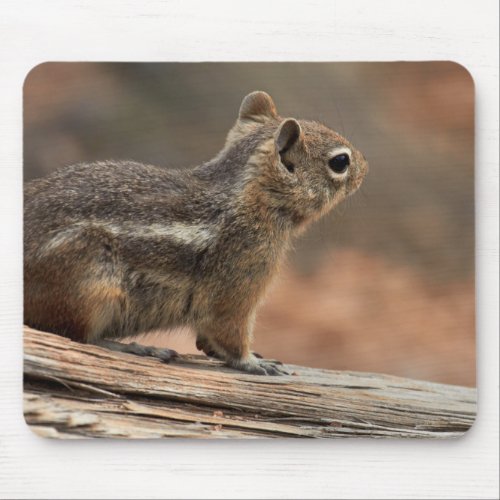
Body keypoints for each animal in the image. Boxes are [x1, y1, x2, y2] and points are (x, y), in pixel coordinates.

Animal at [23, 92, 368, 376]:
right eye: (340, 162)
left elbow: (208, 341)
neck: (248, 197)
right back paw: (137, 347)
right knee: (78, 337)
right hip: (89, 283)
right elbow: (228, 333)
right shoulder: (239, 286)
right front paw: (253, 362)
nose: (365, 168)